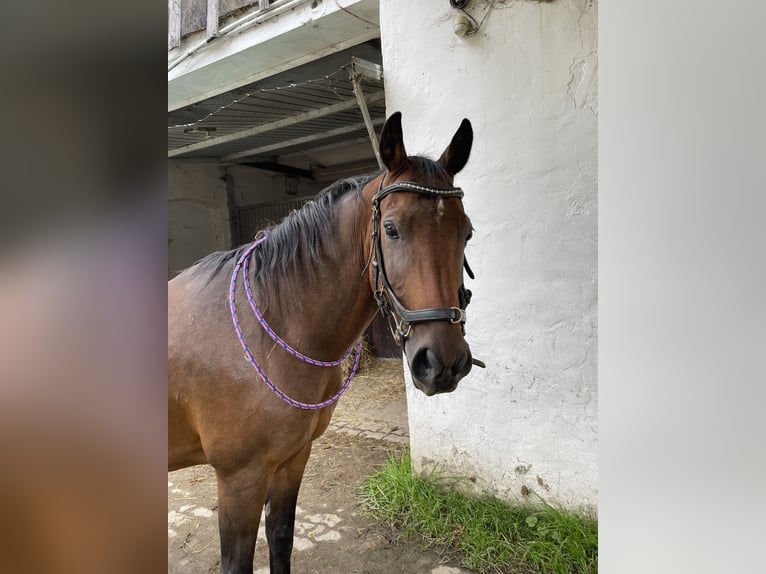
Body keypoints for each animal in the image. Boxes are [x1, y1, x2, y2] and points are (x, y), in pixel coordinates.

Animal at [170, 110, 480, 572]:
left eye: (467, 232)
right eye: (391, 229)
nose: (442, 363)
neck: (271, 330)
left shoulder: (293, 459)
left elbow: (281, 538)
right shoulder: (239, 478)